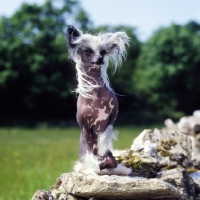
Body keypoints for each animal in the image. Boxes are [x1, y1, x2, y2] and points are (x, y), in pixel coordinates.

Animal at [65, 25, 131, 175]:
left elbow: (106, 133)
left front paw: (102, 146)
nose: (100, 58)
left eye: (103, 51)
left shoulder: (114, 114)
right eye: (88, 50)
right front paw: (94, 165)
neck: (97, 95)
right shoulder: (84, 126)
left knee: (111, 162)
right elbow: (90, 150)